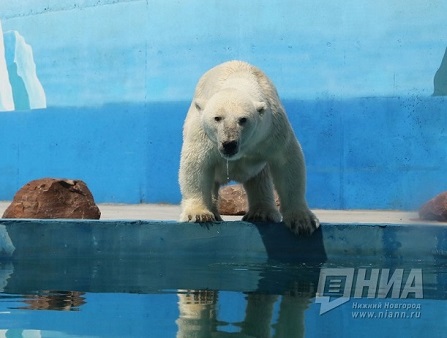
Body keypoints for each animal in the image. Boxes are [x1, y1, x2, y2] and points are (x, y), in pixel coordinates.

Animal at [178, 60, 318, 235]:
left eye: (243, 119)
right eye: (217, 118)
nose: (229, 144)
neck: (239, 76)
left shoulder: (271, 131)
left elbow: (288, 162)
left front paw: (302, 220)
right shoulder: (203, 133)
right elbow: (197, 164)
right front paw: (199, 214)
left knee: (260, 179)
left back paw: (261, 213)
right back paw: (216, 212)